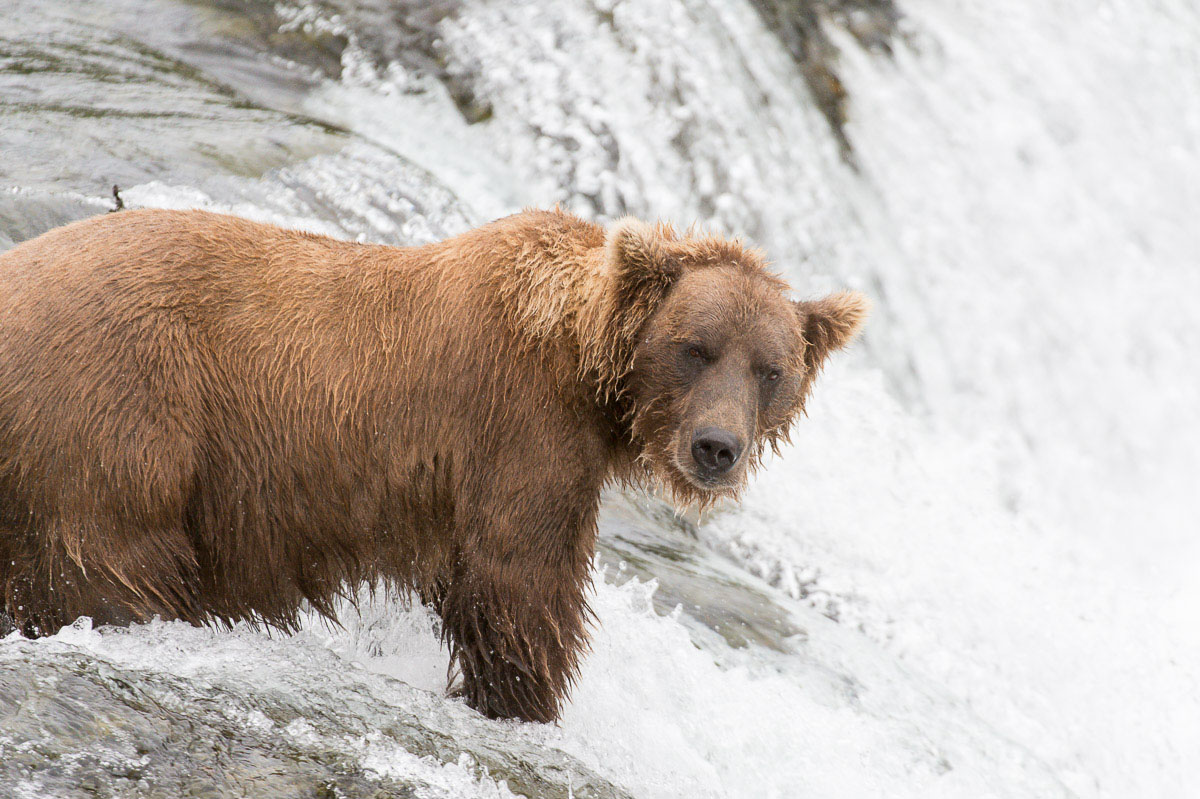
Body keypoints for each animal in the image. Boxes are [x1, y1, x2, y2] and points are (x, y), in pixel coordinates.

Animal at [0, 208, 868, 719]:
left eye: (770, 369)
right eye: (695, 347)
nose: (716, 448)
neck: (583, 366)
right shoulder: (518, 431)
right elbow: (517, 582)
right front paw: (523, 699)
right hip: (119, 413)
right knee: (114, 565)